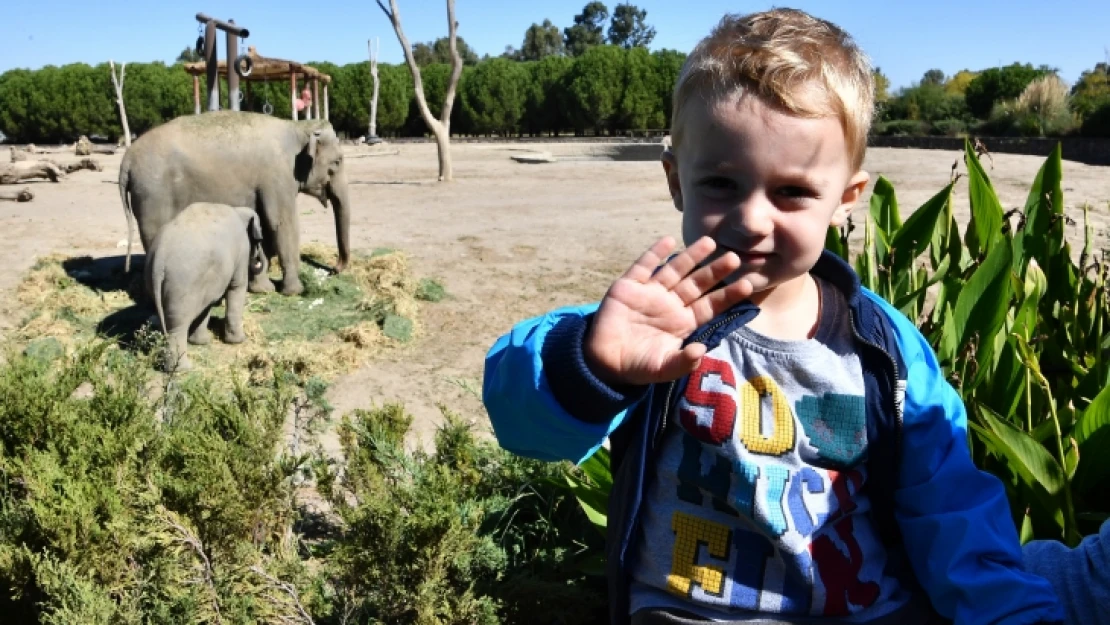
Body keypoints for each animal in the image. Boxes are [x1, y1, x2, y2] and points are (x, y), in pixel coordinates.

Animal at [119, 111, 348, 297]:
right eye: (337, 162)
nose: (334, 270)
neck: (299, 127)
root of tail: (126, 159)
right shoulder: (277, 176)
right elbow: (281, 223)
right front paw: (295, 291)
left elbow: (262, 227)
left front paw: (263, 289)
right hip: (153, 193)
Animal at [145, 203, 264, 370]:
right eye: (260, 238)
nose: (259, 259)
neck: (238, 210)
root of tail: (159, 259)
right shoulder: (242, 251)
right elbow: (237, 287)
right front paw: (239, 341)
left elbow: (207, 304)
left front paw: (202, 342)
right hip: (183, 285)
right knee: (177, 326)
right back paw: (182, 369)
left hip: (156, 280)